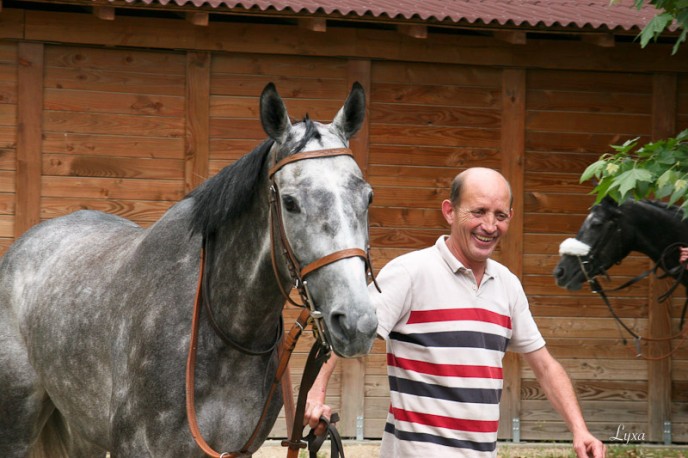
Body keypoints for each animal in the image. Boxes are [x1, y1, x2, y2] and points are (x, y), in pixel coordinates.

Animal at [0, 83, 376, 458]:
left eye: (368, 197)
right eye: (290, 202)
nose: (356, 322)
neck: (223, 334)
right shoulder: (134, 447)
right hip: (18, 424)